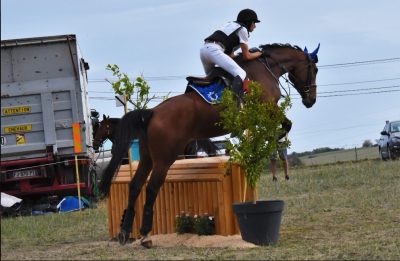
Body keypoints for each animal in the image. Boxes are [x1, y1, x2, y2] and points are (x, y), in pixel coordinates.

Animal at [99, 42, 318, 246]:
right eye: (314, 70)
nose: (311, 101)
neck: (265, 67)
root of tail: (152, 113)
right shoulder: (267, 108)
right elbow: (286, 124)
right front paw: (271, 140)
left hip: (147, 157)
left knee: (135, 185)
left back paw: (125, 232)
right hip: (164, 158)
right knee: (151, 187)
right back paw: (145, 235)